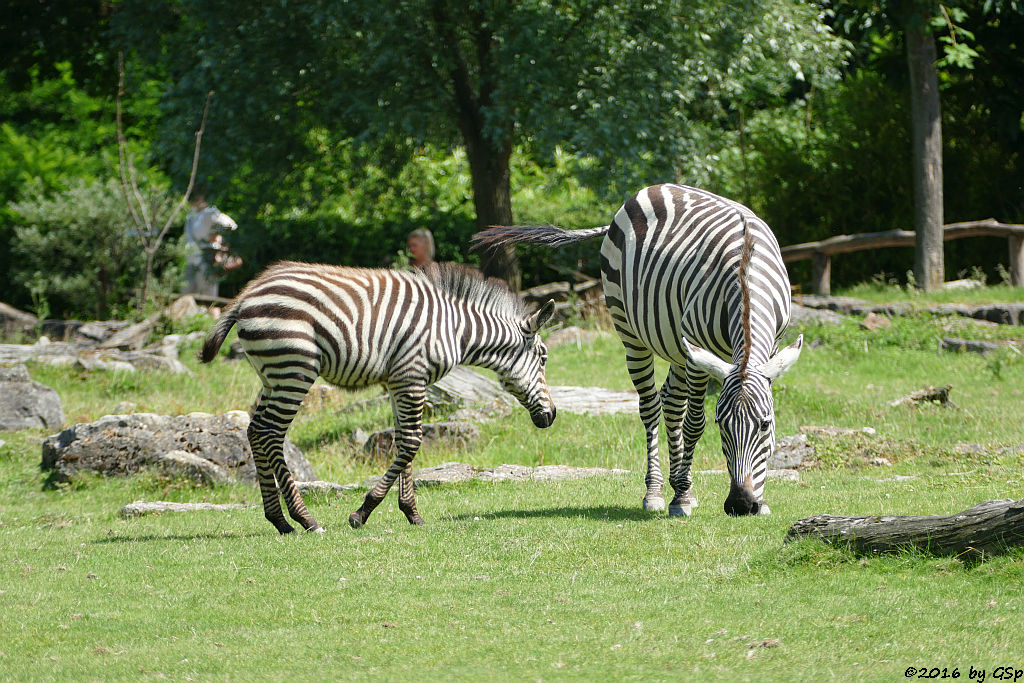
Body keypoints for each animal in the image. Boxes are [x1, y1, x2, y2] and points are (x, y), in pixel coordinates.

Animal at [196, 259, 557, 532]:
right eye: (543, 357)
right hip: (294, 370)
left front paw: (411, 512)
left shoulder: (399, 382)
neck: (456, 330)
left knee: (255, 431)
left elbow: (402, 441)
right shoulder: (412, 376)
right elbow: (412, 442)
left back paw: (279, 520)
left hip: (272, 375)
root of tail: (247, 294)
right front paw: (363, 512)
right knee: (271, 433)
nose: (552, 416)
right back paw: (306, 519)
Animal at [475, 184, 802, 516]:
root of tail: (647, 191)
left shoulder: (769, 348)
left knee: (672, 403)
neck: (746, 271)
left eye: (765, 424)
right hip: (632, 333)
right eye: (721, 425)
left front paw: (758, 501)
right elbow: (694, 423)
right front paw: (681, 499)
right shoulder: (698, 353)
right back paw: (659, 492)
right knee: (651, 406)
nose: (740, 504)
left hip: (678, 345)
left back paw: (680, 484)